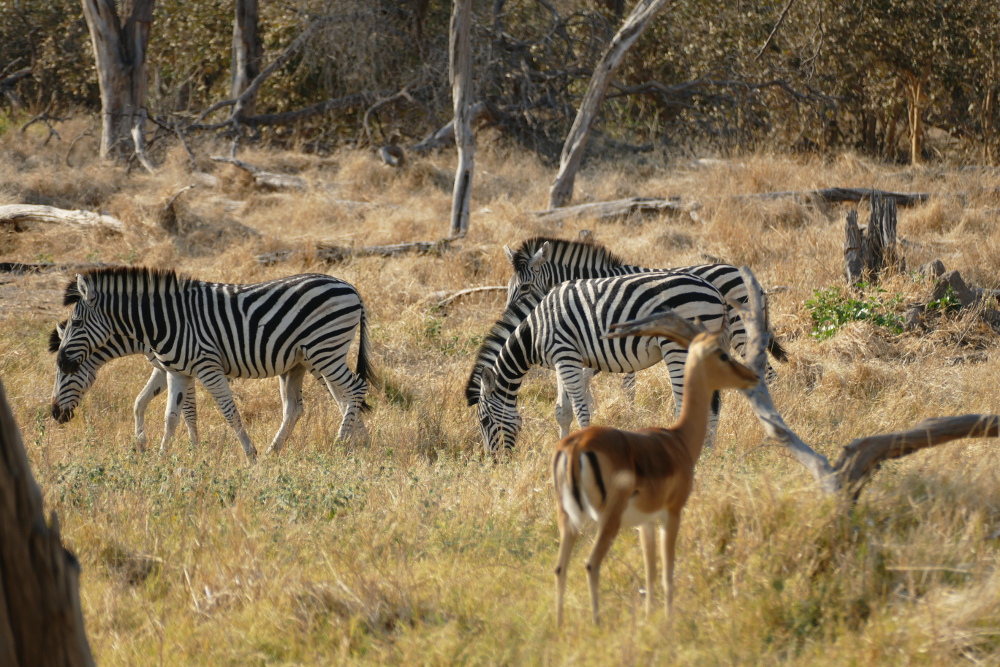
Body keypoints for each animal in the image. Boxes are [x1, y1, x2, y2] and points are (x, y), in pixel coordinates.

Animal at [55, 268, 376, 461]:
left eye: (77, 323)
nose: (55, 415)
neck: (161, 323)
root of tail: (351, 287)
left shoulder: (205, 366)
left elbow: (226, 412)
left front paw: (248, 454)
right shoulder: (176, 371)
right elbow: (171, 415)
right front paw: (161, 456)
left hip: (325, 350)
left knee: (355, 390)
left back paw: (341, 443)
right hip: (304, 360)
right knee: (304, 406)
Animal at [467, 272, 731, 453]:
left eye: (485, 421)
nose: (494, 462)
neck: (534, 333)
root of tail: (714, 291)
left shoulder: (565, 356)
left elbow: (581, 410)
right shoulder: (563, 360)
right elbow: (563, 411)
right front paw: (561, 446)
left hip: (678, 347)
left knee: (684, 402)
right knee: (713, 404)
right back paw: (708, 452)